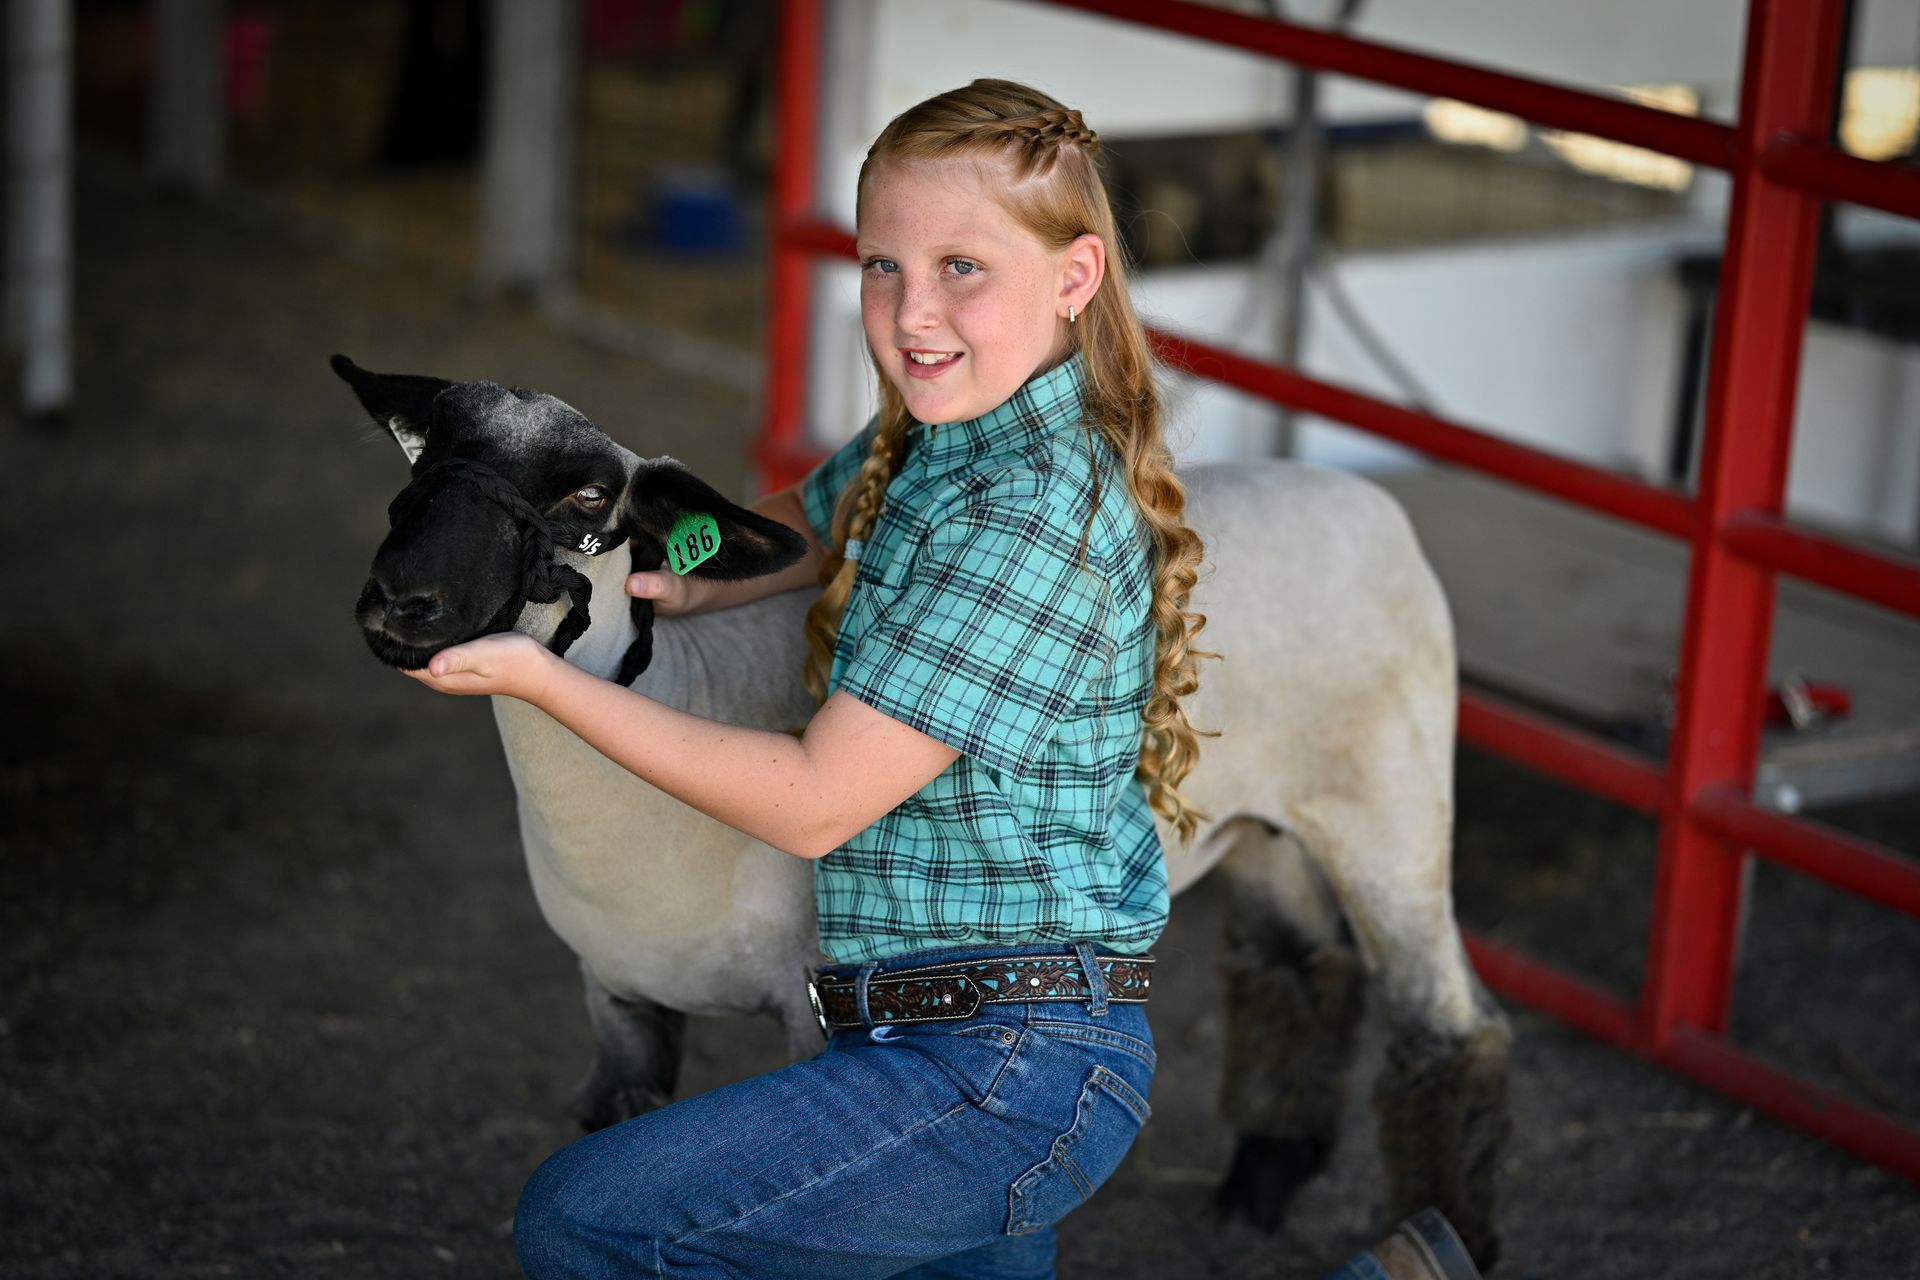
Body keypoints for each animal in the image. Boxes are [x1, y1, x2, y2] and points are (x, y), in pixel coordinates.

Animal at [337, 355, 1520, 1266]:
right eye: (422, 457)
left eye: (589, 503)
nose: (402, 602)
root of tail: (1370, 499)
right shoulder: (618, 996)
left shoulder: (809, 1007)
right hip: (1265, 824)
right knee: (1300, 969)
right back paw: (1258, 1187)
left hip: (1391, 801)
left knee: (1450, 1032)